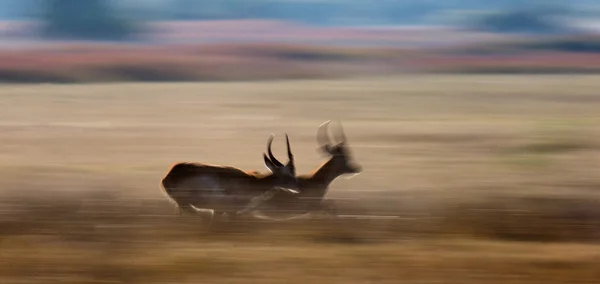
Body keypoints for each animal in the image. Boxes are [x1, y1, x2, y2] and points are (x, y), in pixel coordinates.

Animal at [161, 134, 298, 226]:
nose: (298, 187)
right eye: (288, 174)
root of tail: (170, 174)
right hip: (185, 203)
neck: (250, 182)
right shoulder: (227, 211)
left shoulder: (221, 211)